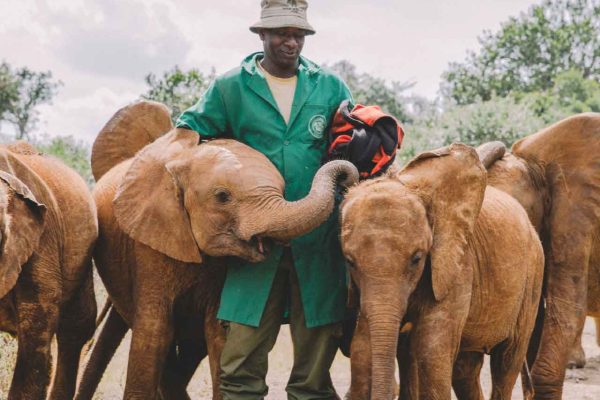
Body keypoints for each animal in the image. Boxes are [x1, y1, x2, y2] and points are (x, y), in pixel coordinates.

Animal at [342, 144, 544, 400]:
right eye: (350, 262)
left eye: (417, 259)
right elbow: (362, 348)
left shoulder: (456, 264)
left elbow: (431, 351)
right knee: (465, 369)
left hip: (533, 275)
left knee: (507, 360)